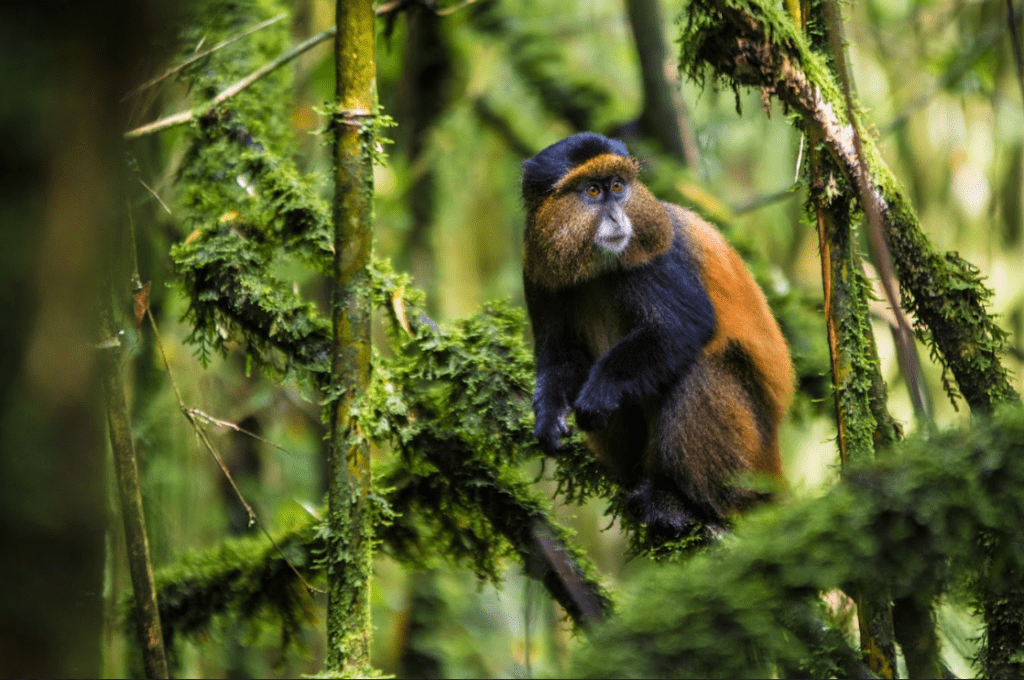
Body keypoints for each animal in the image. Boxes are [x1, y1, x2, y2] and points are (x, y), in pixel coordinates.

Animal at [521, 132, 794, 534]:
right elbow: (560, 356)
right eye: (592, 191)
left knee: (702, 368)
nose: (617, 216)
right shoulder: (538, 272)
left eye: (618, 187)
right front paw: (548, 417)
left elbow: (681, 329)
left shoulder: (658, 255)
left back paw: (687, 502)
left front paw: (599, 392)